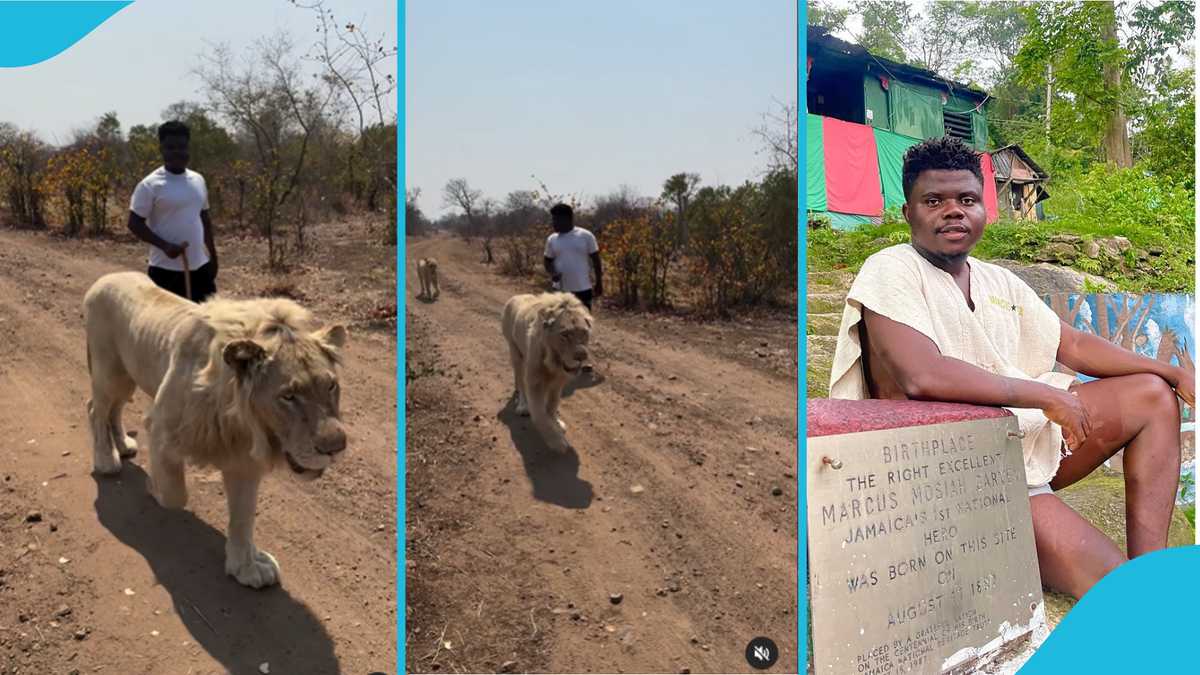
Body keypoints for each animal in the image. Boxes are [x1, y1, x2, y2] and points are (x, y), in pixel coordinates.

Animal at [82, 270, 348, 586]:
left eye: (331, 386)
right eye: (288, 396)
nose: (336, 447)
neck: (242, 420)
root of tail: (106, 277)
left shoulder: (244, 460)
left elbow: (244, 516)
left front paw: (247, 566)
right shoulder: (160, 428)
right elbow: (175, 495)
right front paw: (153, 486)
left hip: (127, 377)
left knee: (114, 409)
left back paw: (122, 444)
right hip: (110, 373)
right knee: (96, 409)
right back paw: (106, 459)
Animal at [496, 290, 590, 451]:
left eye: (584, 333)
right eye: (565, 334)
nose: (582, 356)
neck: (554, 360)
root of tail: (514, 297)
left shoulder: (559, 380)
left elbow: (552, 405)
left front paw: (556, 421)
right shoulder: (535, 381)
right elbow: (540, 415)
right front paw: (557, 442)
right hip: (516, 354)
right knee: (520, 382)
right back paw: (523, 406)